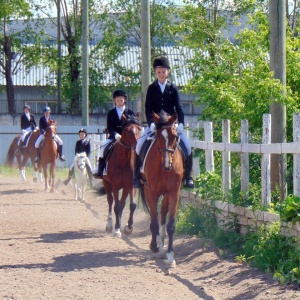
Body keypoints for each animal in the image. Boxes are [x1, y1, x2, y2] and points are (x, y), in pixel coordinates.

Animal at [138, 111, 183, 266]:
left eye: (174, 136)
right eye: (158, 137)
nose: (167, 165)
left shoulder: (174, 193)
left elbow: (171, 224)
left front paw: (170, 255)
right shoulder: (152, 192)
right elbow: (153, 221)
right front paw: (154, 246)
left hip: (167, 194)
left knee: (163, 212)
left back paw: (162, 242)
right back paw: (157, 243)